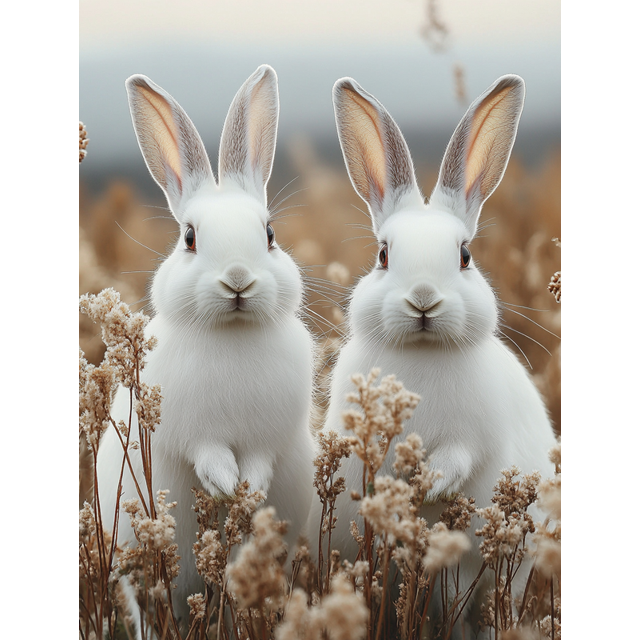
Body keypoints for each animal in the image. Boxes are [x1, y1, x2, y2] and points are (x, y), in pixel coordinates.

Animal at [95, 64, 316, 629]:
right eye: (190, 238)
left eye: (270, 234)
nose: (237, 280)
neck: (231, 333)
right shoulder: (192, 433)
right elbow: (208, 454)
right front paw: (224, 486)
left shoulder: (268, 435)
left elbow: (258, 459)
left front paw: (248, 492)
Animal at [315, 75, 559, 637]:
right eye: (383, 255)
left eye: (465, 255)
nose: (423, 298)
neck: (422, 353)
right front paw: (399, 490)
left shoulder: (474, 438)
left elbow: (458, 459)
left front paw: (426, 486)